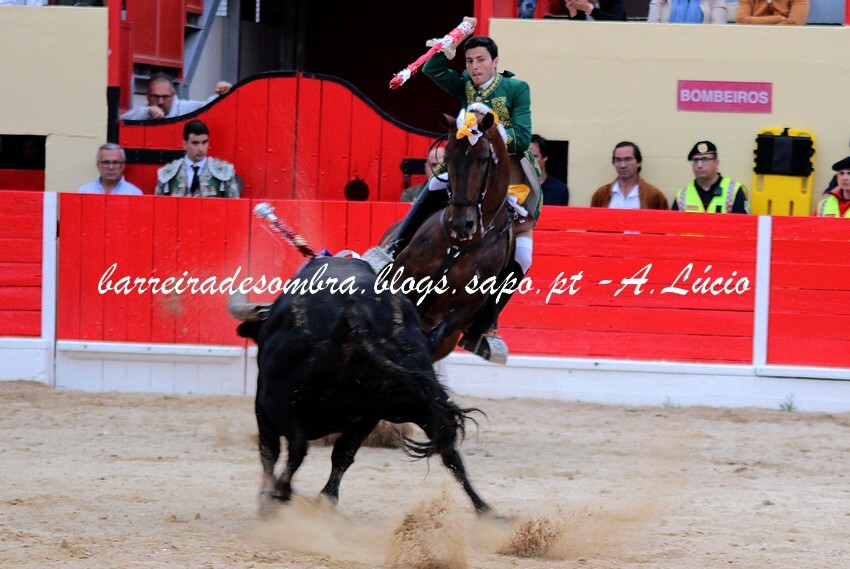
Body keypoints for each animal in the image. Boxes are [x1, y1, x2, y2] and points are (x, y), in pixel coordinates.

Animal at [228, 256, 491, 515]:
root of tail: (354, 310)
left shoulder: (263, 406)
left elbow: (270, 451)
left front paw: (267, 497)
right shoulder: (368, 417)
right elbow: (341, 453)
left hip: (279, 402)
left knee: (297, 448)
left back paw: (278, 496)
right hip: (410, 398)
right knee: (447, 446)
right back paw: (485, 510)